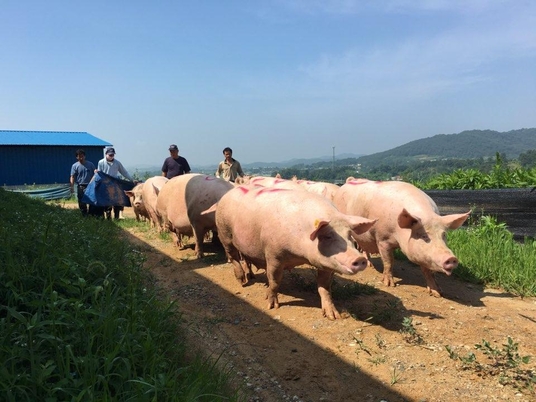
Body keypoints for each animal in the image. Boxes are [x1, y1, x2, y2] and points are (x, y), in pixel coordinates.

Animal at [214, 185, 376, 320]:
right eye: (328, 236)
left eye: (349, 235)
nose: (360, 259)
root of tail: (228, 193)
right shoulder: (273, 254)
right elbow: (274, 281)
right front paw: (271, 305)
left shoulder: (326, 265)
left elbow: (325, 287)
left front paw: (333, 316)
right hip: (224, 232)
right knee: (233, 256)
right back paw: (242, 282)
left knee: (246, 258)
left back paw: (251, 276)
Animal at [330, 177, 468, 296]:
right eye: (424, 236)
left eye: (443, 235)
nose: (451, 258)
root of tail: (350, 180)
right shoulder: (382, 239)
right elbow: (389, 261)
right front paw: (389, 284)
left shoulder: (422, 254)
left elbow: (427, 270)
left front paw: (437, 292)